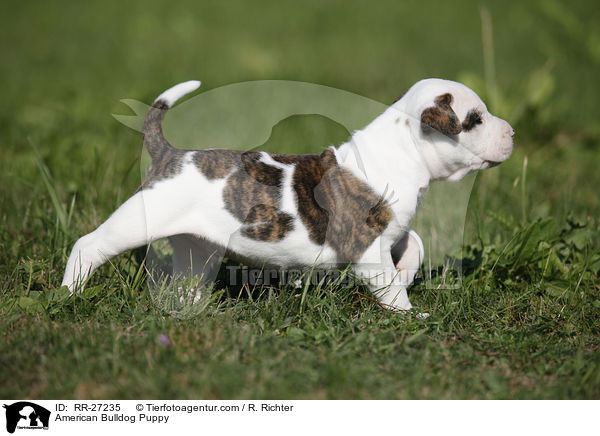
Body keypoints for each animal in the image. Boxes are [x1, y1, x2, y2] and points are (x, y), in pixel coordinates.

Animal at [62, 78, 516, 310]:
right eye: (475, 119)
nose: (512, 132)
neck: (402, 151)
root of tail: (169, 153)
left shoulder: (391, 229)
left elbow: (415, 244)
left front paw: (406, 274)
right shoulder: (366, 244)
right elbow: (389, 286)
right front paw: (406, 313)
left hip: (196, 245)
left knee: (186, 278)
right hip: (138, 220)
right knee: (89, 245)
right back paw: (68, 294)